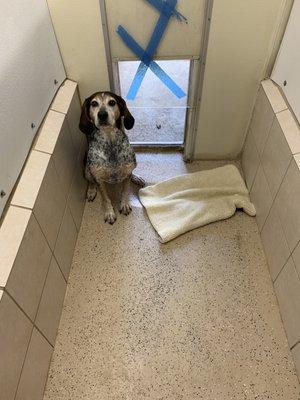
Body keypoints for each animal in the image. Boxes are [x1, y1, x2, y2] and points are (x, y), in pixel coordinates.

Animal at [79, 91, 145, 227]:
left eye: (112, 102)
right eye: (94, 103)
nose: (102, 114)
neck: (110, 142)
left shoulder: (127, 172)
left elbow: (125, 190)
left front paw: (124, 205)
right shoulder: (98, 179)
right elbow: (106, 198)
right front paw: (109, 213)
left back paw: (136, 177)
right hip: (87, 170)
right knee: (90, 181)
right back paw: (91, 192)